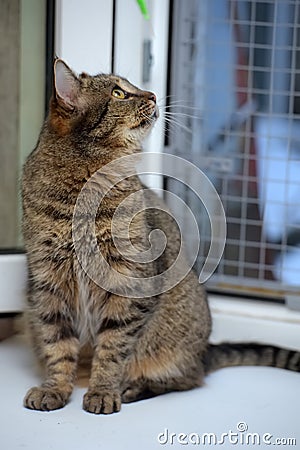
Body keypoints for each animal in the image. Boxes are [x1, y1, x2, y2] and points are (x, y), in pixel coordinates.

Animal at [22, 59, 300, 414]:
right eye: (118, 93)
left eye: (130, 87)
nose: (153, 94)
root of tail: (204, 351)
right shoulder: (49, 282)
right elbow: (57, 345)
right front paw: (55, 388)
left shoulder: (128, 282)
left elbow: (112, 349)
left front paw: (103, 390)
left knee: (187, 379)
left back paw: (133, 387)